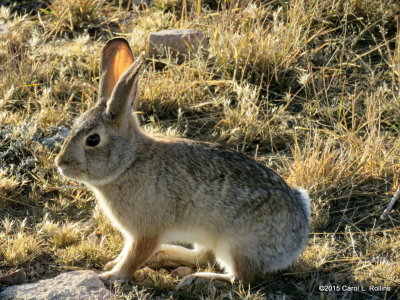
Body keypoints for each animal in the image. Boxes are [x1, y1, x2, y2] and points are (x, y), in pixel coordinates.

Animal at [54, 37, 310, 288]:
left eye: (93, 139)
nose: (60, 163)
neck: (128, 162)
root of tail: (298, 235)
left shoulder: (146, 231)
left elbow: (134, 256)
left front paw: (112, 276)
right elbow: (129, 253)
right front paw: (113, 264)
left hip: (236, 244)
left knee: (240, 276)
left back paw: (198, 279)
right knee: (203, 257)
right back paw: (164, 256)